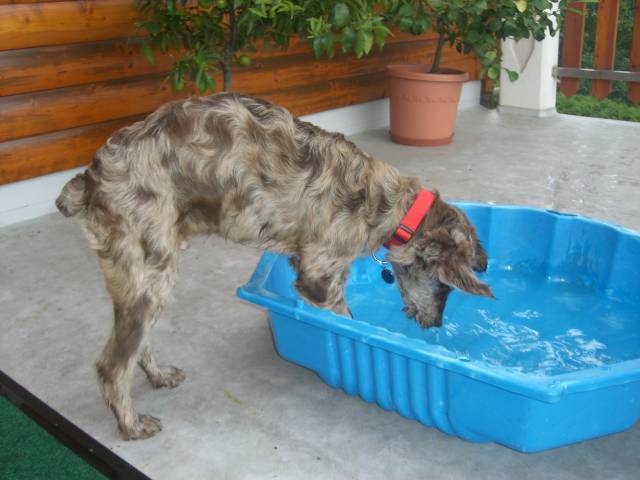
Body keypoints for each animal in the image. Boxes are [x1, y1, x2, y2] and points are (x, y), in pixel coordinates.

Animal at [56, 93, 492, 440]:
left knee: (136, 346)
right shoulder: (320, 279)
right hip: (149, 273)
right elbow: (347, 326)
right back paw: (130, 425)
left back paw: (158, 375)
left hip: (147, 278)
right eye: (445, 286)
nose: (437, 325)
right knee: (112, 365)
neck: (390, 204)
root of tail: (89, 179)